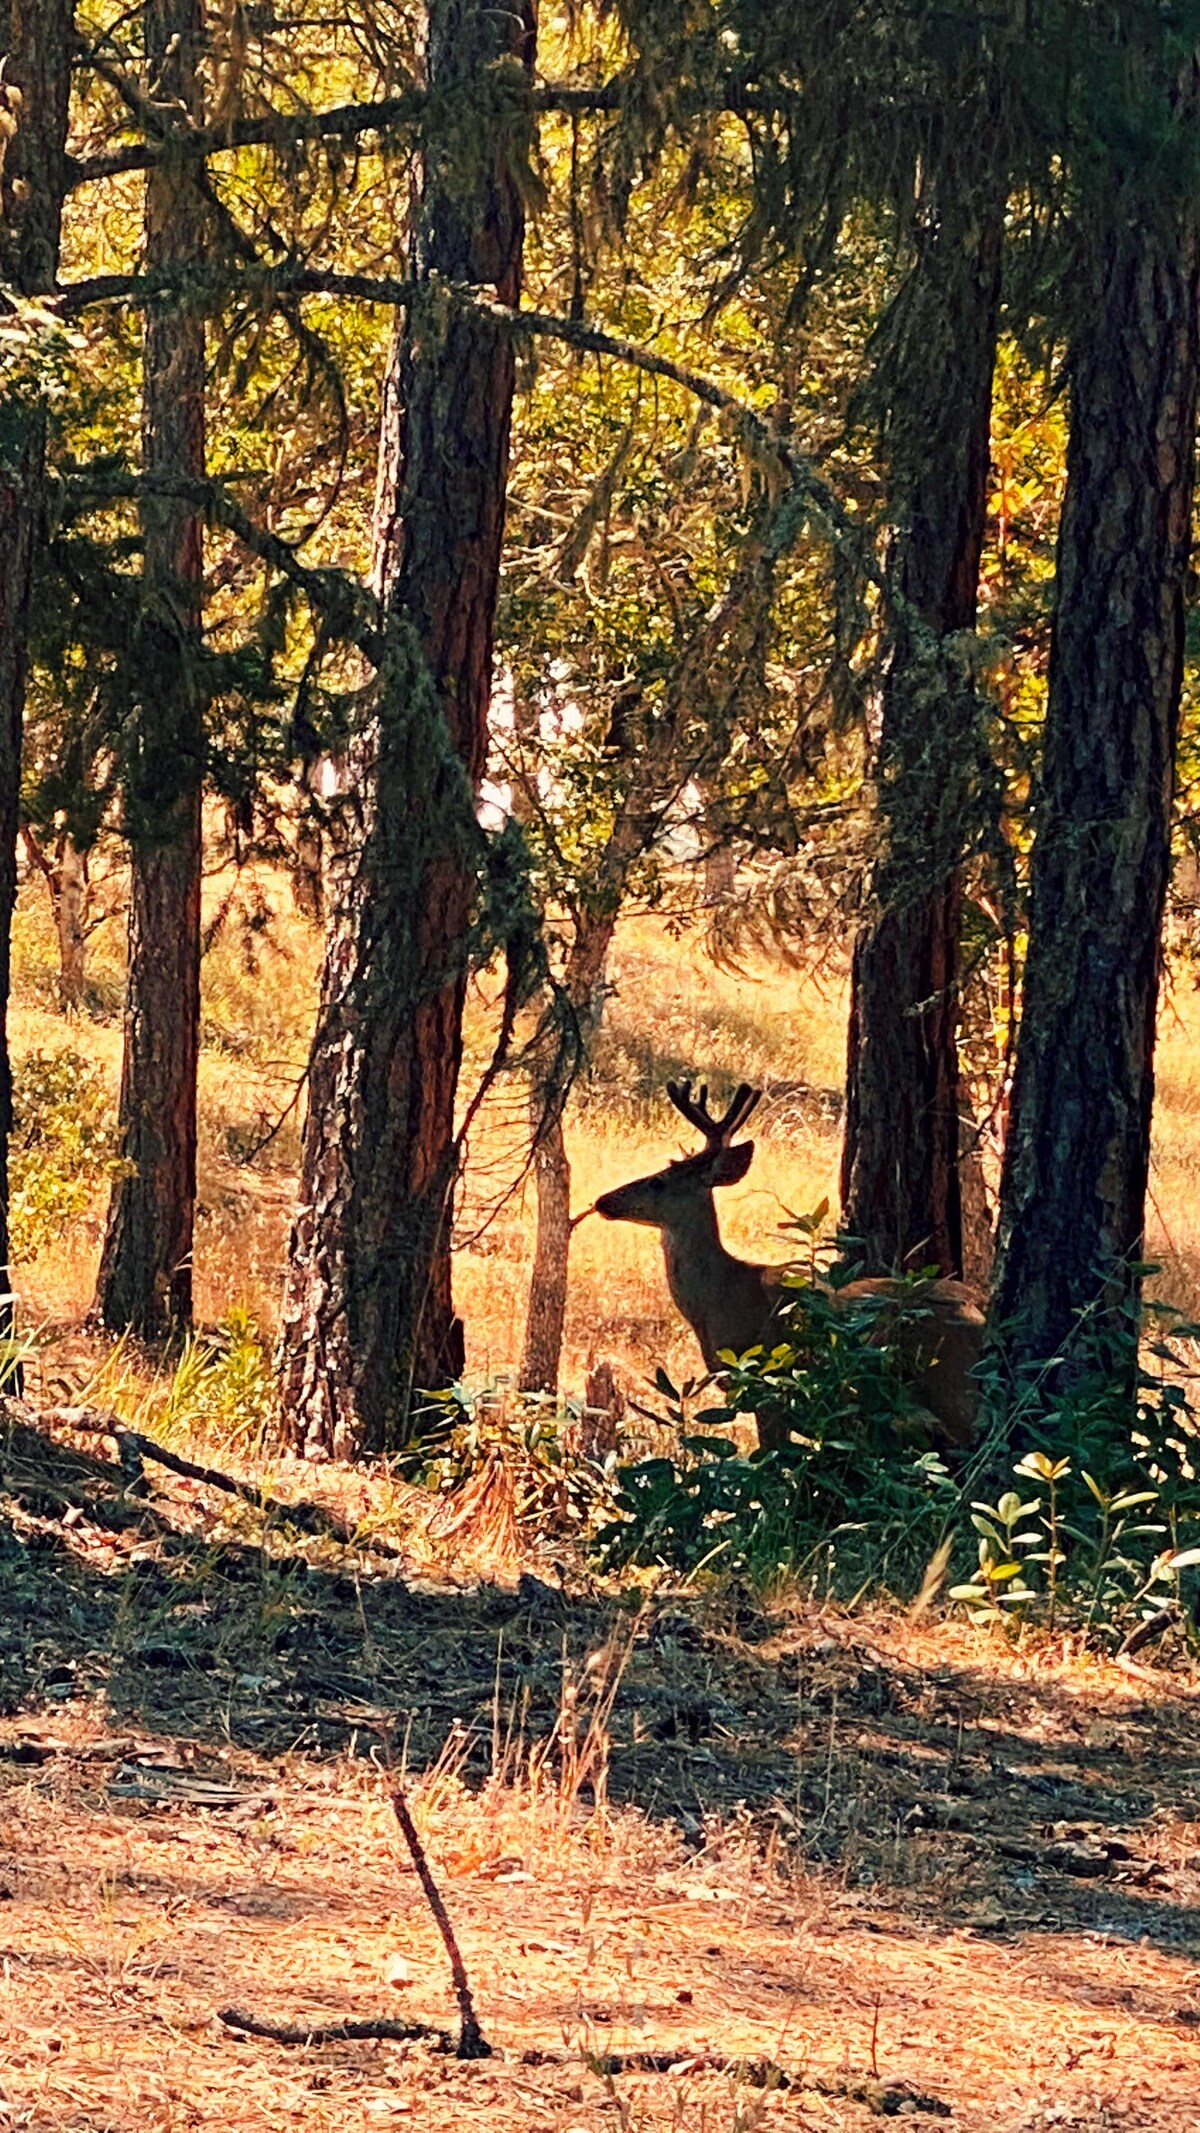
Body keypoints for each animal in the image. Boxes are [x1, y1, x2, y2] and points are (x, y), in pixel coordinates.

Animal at [596, 1075, 988, 1458]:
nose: (603, 1200)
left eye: (657, 1181)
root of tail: (983, 1311)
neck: (718, 1299)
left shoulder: (767, 1385)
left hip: (952, 1387)